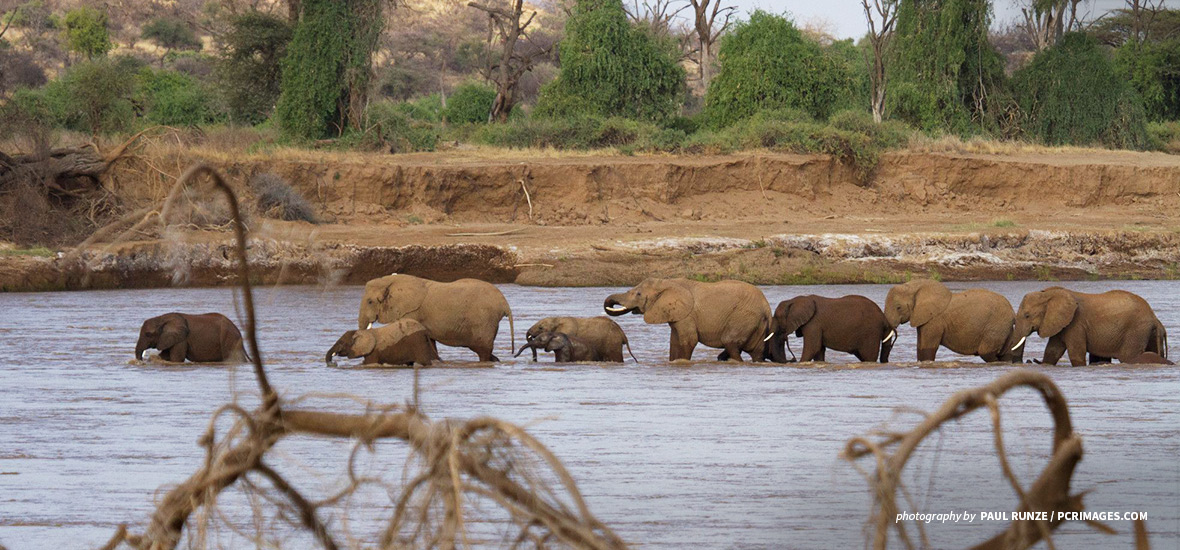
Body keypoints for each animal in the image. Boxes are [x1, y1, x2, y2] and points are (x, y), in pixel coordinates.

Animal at [353, 273, 512, 361]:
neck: (390, 281)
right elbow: (429, 340)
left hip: (484, 321)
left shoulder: (411, 312)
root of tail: (504, 303)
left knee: (483, 352)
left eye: (370, 301)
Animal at [599, 279, 774, 361]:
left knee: (730, 342)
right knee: (756, 352)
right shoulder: (677, 316)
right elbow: (675, 342)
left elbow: (688, 341)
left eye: (638, 294)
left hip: (744, 316)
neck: (667, 282)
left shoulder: (687, 315)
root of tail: (766, 305)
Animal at [887, 279, 1024, 365]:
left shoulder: (934, 321)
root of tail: (1013, 312)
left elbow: (927, 349)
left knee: (987, 353)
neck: (914, 286)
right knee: (1005, 353)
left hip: (996, 326)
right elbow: (920, 348)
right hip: (1005, 327)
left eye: (898, 307)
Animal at [1010, 285, 1165, 368]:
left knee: (1129, 357)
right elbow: (1052, 351)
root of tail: (1154, 317)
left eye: (1027, 316)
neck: (1049, 293)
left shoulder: (1076, 323)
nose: (1030, 360)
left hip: (1136, 331)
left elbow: (1076, 354)